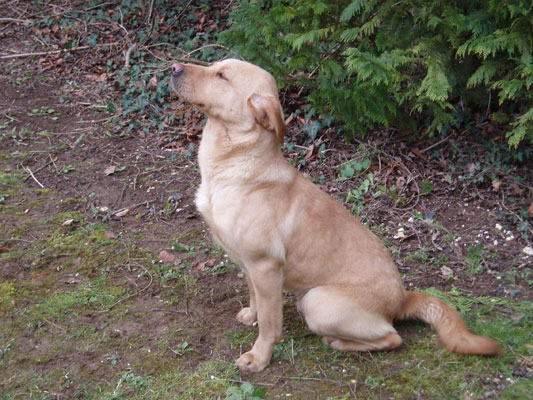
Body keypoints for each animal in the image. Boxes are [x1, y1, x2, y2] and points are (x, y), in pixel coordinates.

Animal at [170, 59, 501, 372]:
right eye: (214, 66)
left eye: (221, 76)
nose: (173, 67)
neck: (233, 166)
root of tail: (403, 298)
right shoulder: (249, 265)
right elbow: (254, 299)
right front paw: (250, 315)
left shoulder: (265, 267)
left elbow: (269, 323)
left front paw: (260, 357)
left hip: (316, 301)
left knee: (392, 337)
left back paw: (338, 342)